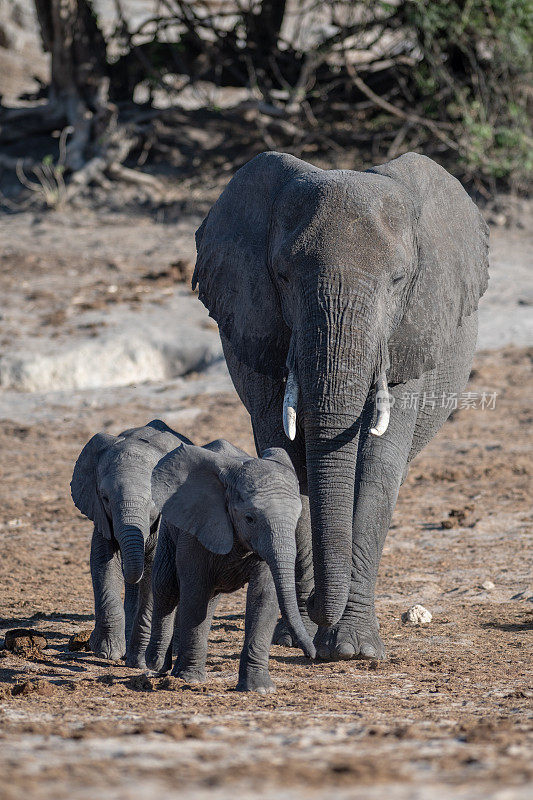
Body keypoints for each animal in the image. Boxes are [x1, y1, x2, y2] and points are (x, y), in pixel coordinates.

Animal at [69, 418, 188, 668]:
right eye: (105, 497)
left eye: (154, 499)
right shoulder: (100, 513)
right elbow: (103, 561)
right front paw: (107, 652)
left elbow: (154, 569)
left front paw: (139, 662)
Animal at [143, 440, 314, 692]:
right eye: (249, 519)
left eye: (297, 516)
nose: (312, 654)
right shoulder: (197, 527)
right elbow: (195, 593)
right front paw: (190, 680)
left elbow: (264, 596)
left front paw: (260, 689)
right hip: (170, 527)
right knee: (167, 587)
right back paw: (156, 664)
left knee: (209, 597)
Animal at [193, 153, 488, 660]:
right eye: (283, 276)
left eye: (398, 281)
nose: (315, 607)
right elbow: (287, 458)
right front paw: (299, 636)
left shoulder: (408, 339)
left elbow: (377, 465)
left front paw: (355, 650)